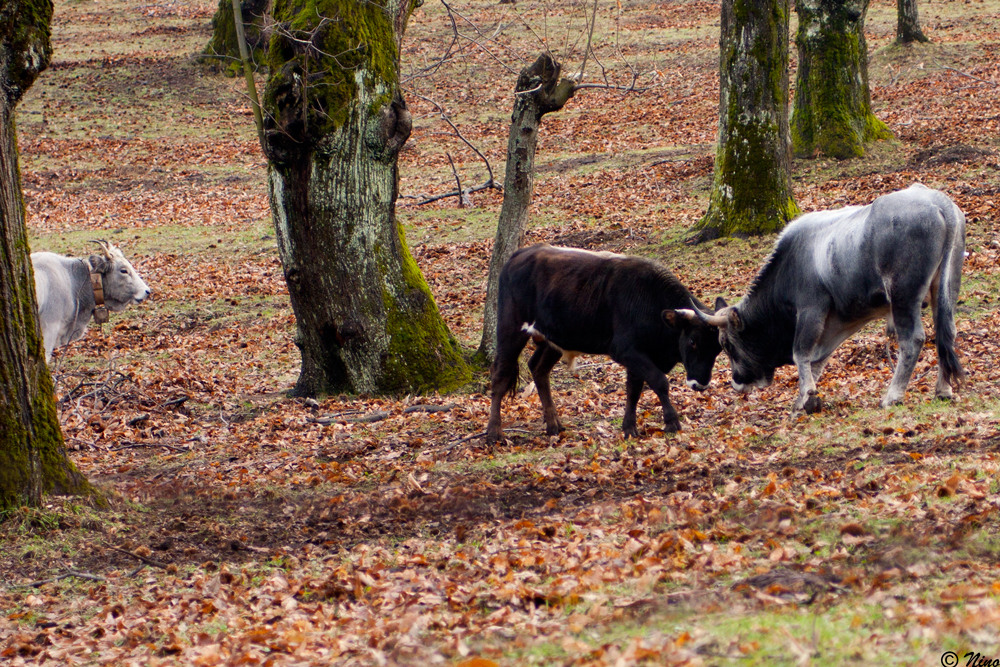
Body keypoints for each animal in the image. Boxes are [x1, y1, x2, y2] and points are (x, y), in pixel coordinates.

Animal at [684, 183, 964, 412]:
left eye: (727, 345)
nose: (737, 382)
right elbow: (818, 356)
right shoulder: (836, 319)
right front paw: (804, 398)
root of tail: (939, 203)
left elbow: (801, 352)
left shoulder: (811, 309)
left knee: (912, 339)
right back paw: (943, 389)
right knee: (946, 333)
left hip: (903, 296)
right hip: (946, 290)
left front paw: (806, 397)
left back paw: (892, 396)